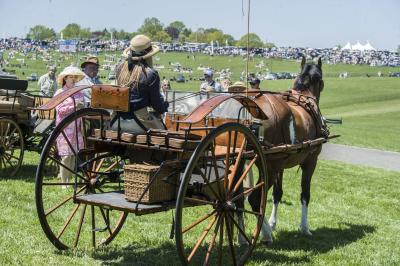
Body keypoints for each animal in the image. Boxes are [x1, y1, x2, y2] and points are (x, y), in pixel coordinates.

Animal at [239, 57, 326, 244]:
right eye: (321, 80)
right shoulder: (311, 161)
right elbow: (305, 194)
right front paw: (304, 227)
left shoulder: (282, 165)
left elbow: (277, 194)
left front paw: (273, 223)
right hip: (268, 167)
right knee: (254, 198)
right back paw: (265, 234)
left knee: (237, 198)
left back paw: (242, 236)